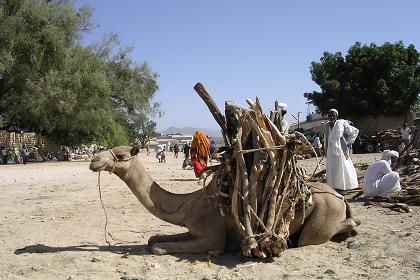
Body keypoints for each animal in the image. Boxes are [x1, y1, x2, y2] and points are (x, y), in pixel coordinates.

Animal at [90, 145, 360, 255]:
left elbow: (157, 248)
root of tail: (339, 195)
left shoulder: (213, 238)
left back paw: (350, 229)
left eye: (120, 155)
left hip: (323, 214)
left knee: (312, 237)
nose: (94, 161)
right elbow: (153, 239)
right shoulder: (194, 228)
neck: (189, 203)